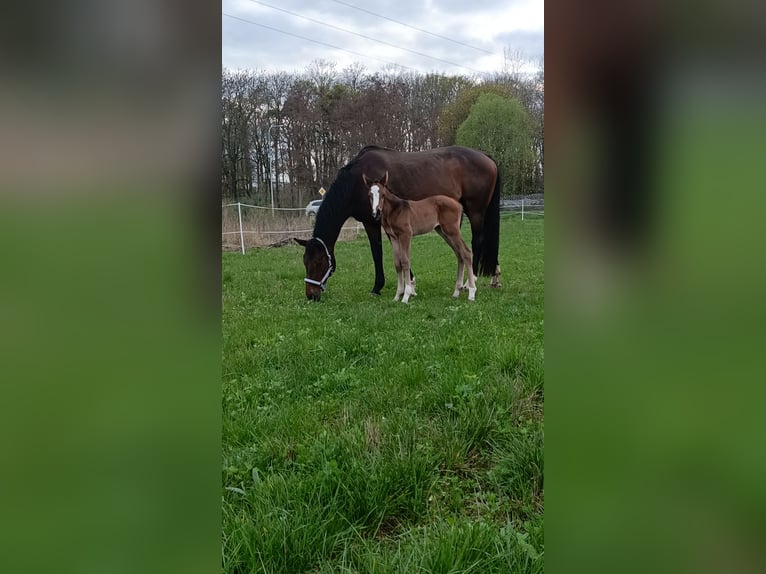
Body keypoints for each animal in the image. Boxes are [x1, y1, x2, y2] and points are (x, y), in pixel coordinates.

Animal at [364, 172, 476, 304]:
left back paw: (471, 293)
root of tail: (458, 204)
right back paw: (456, 292)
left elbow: (405, 261)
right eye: (369, 195)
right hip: (443, 232)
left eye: (382, 195)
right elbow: (397, 263)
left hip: (452, 230)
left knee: (466, 252)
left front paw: (406, 296)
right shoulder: (394, 237)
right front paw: (397, 296)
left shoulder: (406, 235)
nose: (375, 213)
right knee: (459, 254)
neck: (395, 210)